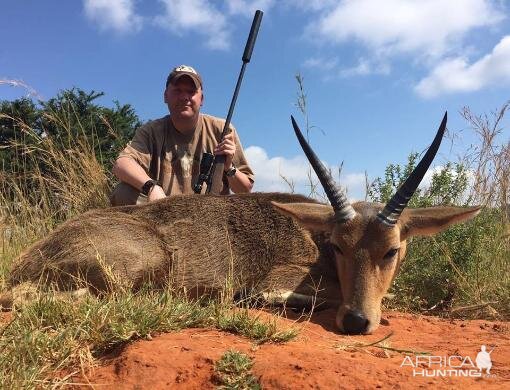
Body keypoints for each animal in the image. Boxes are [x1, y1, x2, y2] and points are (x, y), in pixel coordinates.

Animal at [5, 112, 480, 332]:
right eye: (339, 245)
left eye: (392, 250)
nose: (357, 321)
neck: (315, 242)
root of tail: (25, 261)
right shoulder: (285, 276)